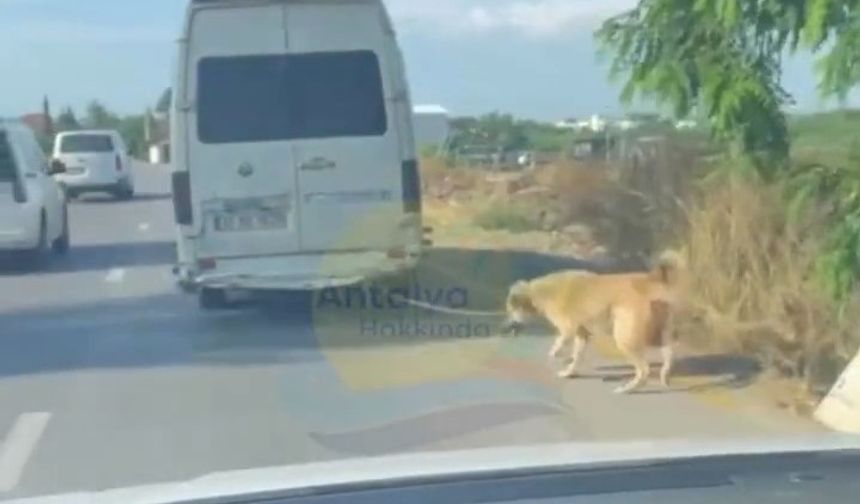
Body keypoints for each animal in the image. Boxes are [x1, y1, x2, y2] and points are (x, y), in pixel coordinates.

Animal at [500, 252, 680, 394]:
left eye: (509, 310)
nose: (505, 327)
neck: (537, 294)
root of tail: (648, 281)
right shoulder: (581, 334)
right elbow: (577, 355)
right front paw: (569, 371)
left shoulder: (568, 328)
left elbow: (559, 343)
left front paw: (555, 355)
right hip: (661, 332)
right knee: (669, 354)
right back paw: (665, 376)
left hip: (625, 338)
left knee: (644, 370)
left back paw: (628, 388)